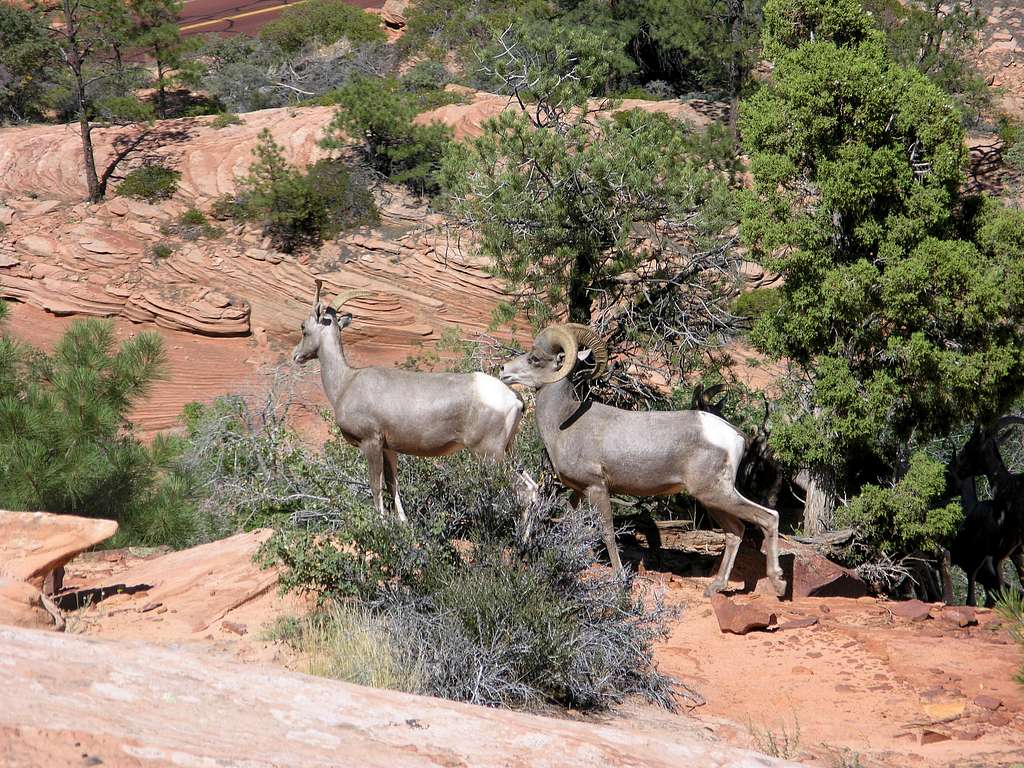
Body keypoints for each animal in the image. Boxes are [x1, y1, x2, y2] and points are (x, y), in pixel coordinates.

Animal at [292, 284, 524, 524]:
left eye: (303, 327)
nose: (297, 356)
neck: (346, 381)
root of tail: (513, 397)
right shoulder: (388, 448)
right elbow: (392, 484)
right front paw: (403, 523)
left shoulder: (371, 443)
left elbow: (376, 487)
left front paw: (382, 523)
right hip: (507, 451)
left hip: (490, 455)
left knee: (523, 491)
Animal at [499, 323, 786, 593]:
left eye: (535, 358)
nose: (503, 370)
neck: (564, 422)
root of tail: (734, 435)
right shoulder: (579, 491)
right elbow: (570, 525)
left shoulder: (597, 488)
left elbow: (607, 531)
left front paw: (619, 577)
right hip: (712, 499)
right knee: (735, 532)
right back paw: (715, 588)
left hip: (717, 494)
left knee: (768, 518)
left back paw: (779, 583)